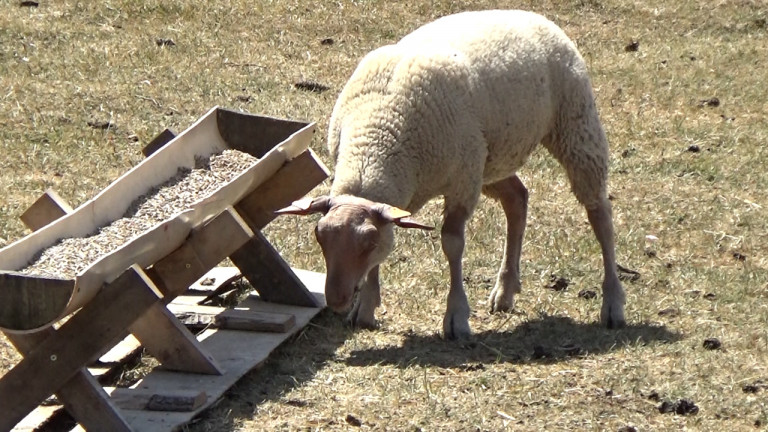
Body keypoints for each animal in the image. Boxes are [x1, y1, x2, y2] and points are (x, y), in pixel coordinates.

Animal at [280, 9, 628, 338]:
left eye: (367, 242)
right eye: (319, 236)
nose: (336, 301)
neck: (377, 136)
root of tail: (530, 15)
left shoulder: (461, 183)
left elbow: (452, 244)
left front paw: (456, 317)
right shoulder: (429, 188)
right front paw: (365, 308)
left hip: (573, 125)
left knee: (599, 212)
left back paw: (612, 303)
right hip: (488, 159)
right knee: (517, 199)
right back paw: (505, 291)